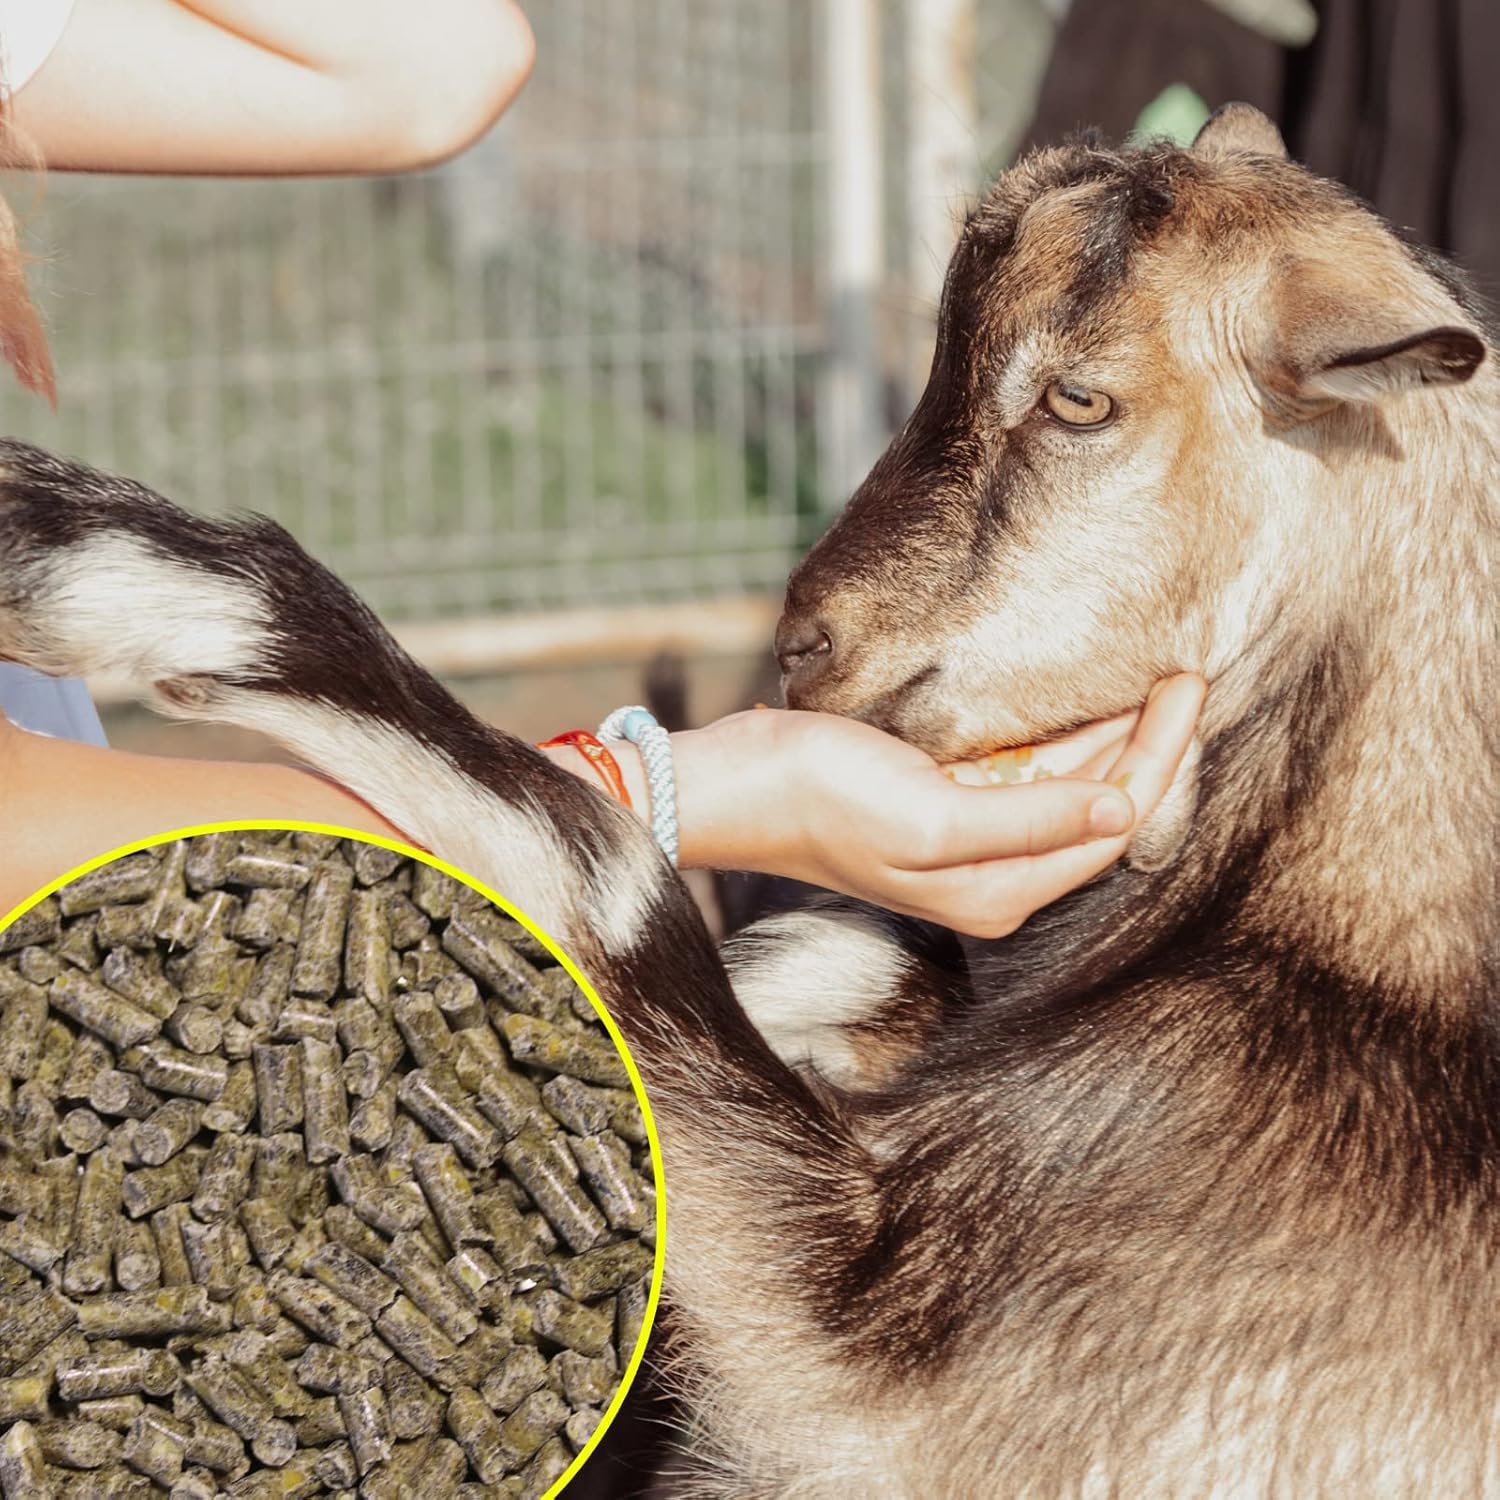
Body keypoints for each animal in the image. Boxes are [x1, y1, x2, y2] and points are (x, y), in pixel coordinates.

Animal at [0, 104, 1493, 1495]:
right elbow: (834, 952)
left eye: (1079, 400)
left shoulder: (917, 1369)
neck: (1364, 961)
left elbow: (600, 881)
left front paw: (65, 555)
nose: (808, 644)